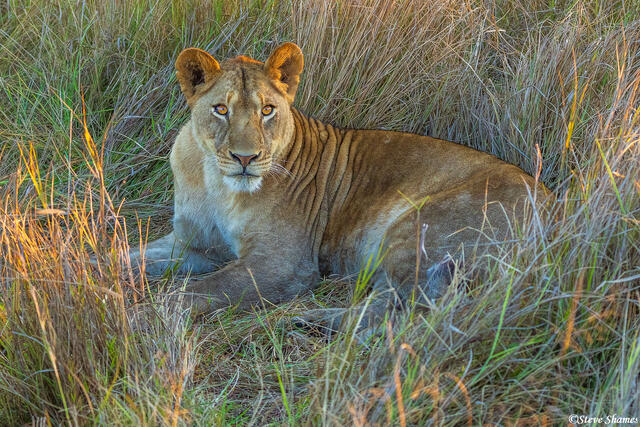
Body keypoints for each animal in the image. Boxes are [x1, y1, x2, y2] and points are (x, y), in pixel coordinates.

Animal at [129, 42, 549, 331]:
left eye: (267, 110)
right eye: (221, 109)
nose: (245, 158)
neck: (216, 183)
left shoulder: (285, 264)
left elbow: (197, 290)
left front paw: (139, 316)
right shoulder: (192, 245)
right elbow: (130, 256)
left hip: (416, 229)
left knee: (391, 314)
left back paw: (301, 319)